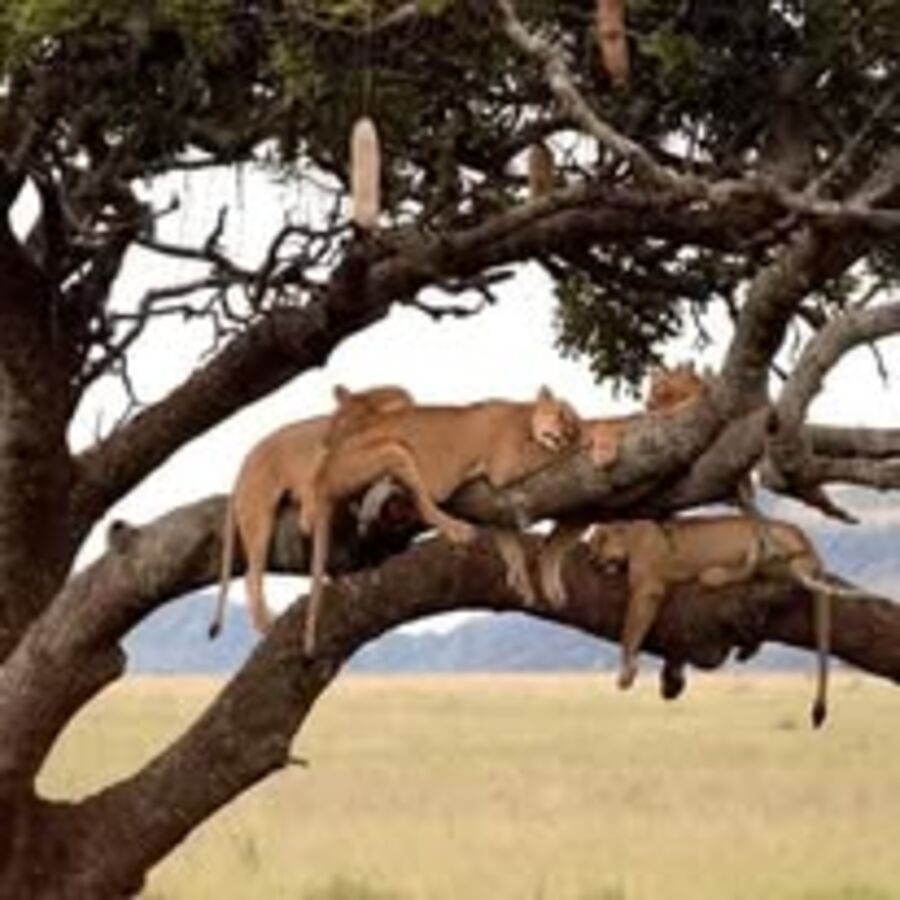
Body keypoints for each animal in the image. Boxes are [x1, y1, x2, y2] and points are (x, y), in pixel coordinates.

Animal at [210, 385, 414, 639]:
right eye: (336, 425)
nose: (328, 445)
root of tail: (243, 466)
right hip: (258, 513)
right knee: (252, 576)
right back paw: (267, 624)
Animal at [300, 386, 584, 655]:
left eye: (572, 423)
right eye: (562, 415)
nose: (568, 432)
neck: (525, 417)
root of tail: (323, 474)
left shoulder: (497, 502)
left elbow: (507, 538)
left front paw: (520, 580)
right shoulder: (505, 466)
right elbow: (551, 455)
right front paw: (584, 441)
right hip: (394, 450)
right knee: (423, 505)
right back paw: (457, 530)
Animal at [587, 514, 844, 727]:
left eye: (597, 543)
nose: (592, 562)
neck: (633, 533)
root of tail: (808, 543)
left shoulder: (648, 587)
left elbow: (630, 631)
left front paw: (626, 673)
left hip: (775, 547)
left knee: (756, 568)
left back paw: (719, 572)